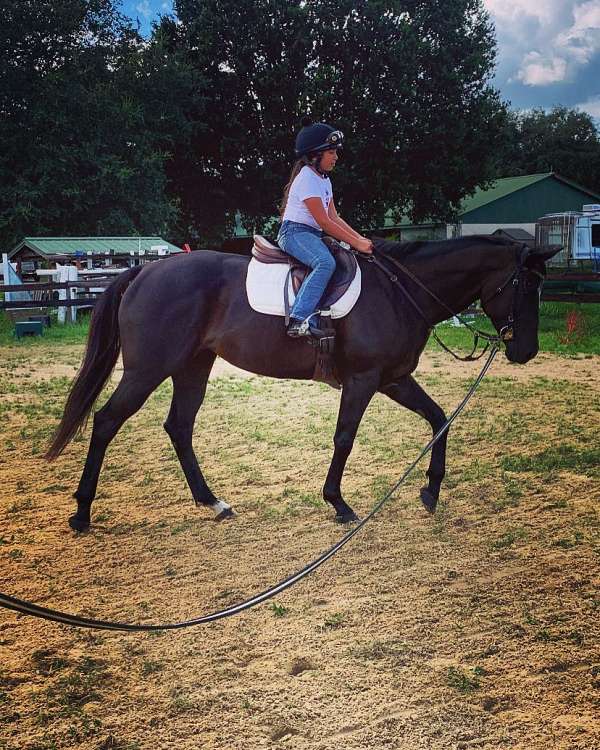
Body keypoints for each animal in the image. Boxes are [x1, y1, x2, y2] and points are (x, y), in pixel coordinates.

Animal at [47, 238, 556, 532]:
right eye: (525, 285)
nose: (526, 351)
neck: (397, 292)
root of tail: (145, 270)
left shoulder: (394, 379)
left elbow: (439, 419)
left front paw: (430, 490)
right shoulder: (363, 381)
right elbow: (345, 437)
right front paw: (339, 503)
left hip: (193, 367)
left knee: (179, 427)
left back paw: (212, 502)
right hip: (147, 370)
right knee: (106, 421)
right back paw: (82, 512)